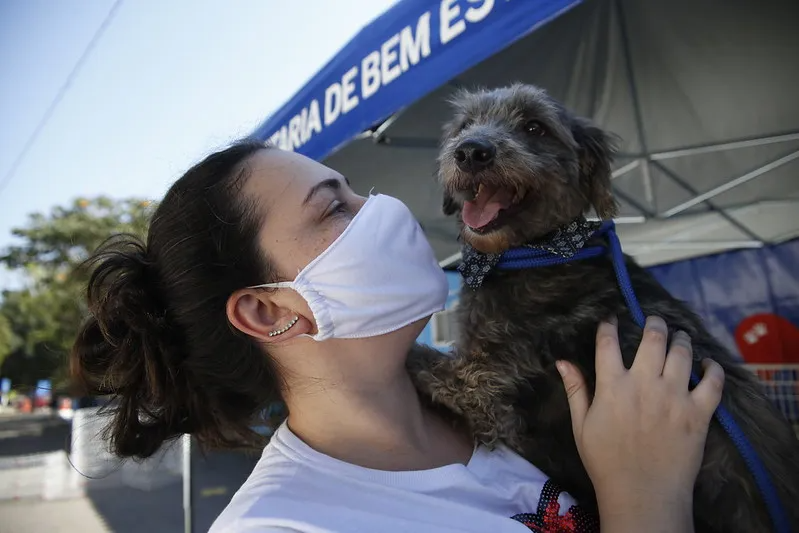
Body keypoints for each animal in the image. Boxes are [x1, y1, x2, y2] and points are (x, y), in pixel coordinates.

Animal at [410, 83, 799, 532]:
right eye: (466, 125)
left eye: (534, 127)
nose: (471, 151)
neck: (535, 253)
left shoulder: (480, 392)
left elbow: (415, 358)